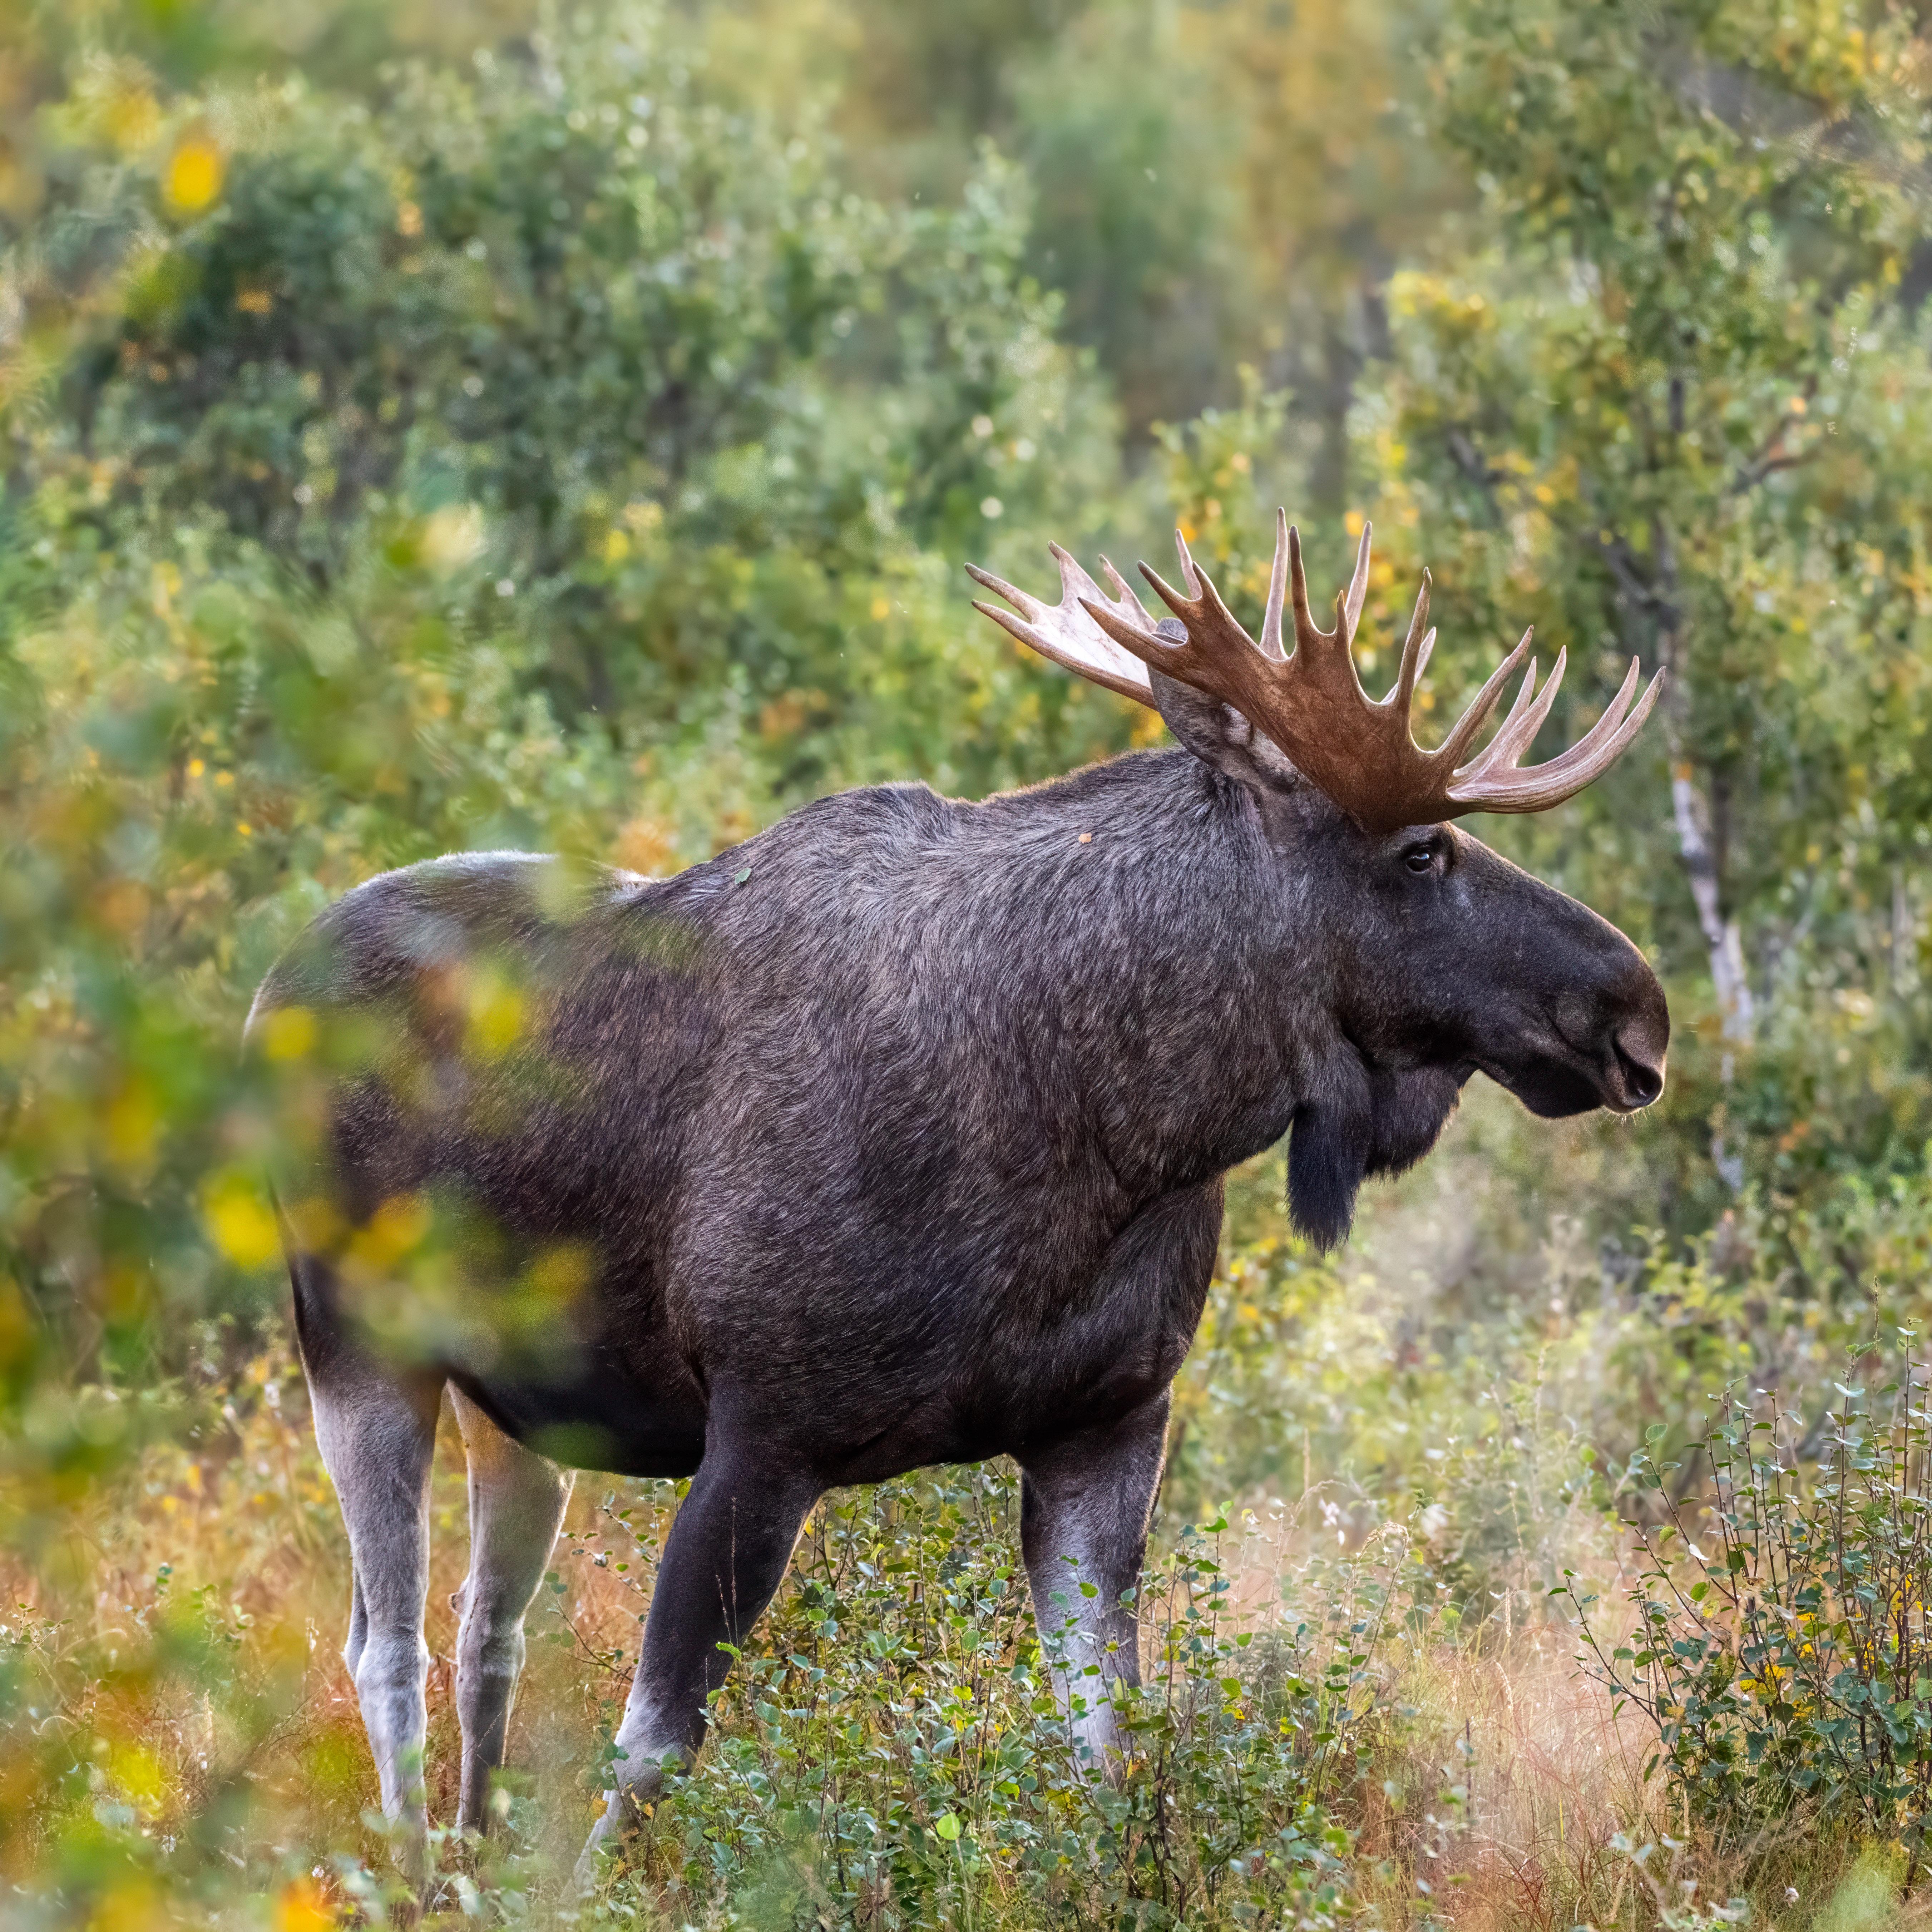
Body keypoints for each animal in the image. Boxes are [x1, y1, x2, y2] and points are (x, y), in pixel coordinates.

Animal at [249, 515, 1668, 1888]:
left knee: (486, 1628)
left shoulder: (1107, 1424)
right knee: (384, 1639)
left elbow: (1112, 1752)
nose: (1635, 1009)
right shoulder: (761, 1428)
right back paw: (400, 1870)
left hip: (519, 1407)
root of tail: (269, 983)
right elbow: (652, 1749)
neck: (1107, 1136)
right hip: (355, 1342)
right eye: (1424, 848)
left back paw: (465, 1867)